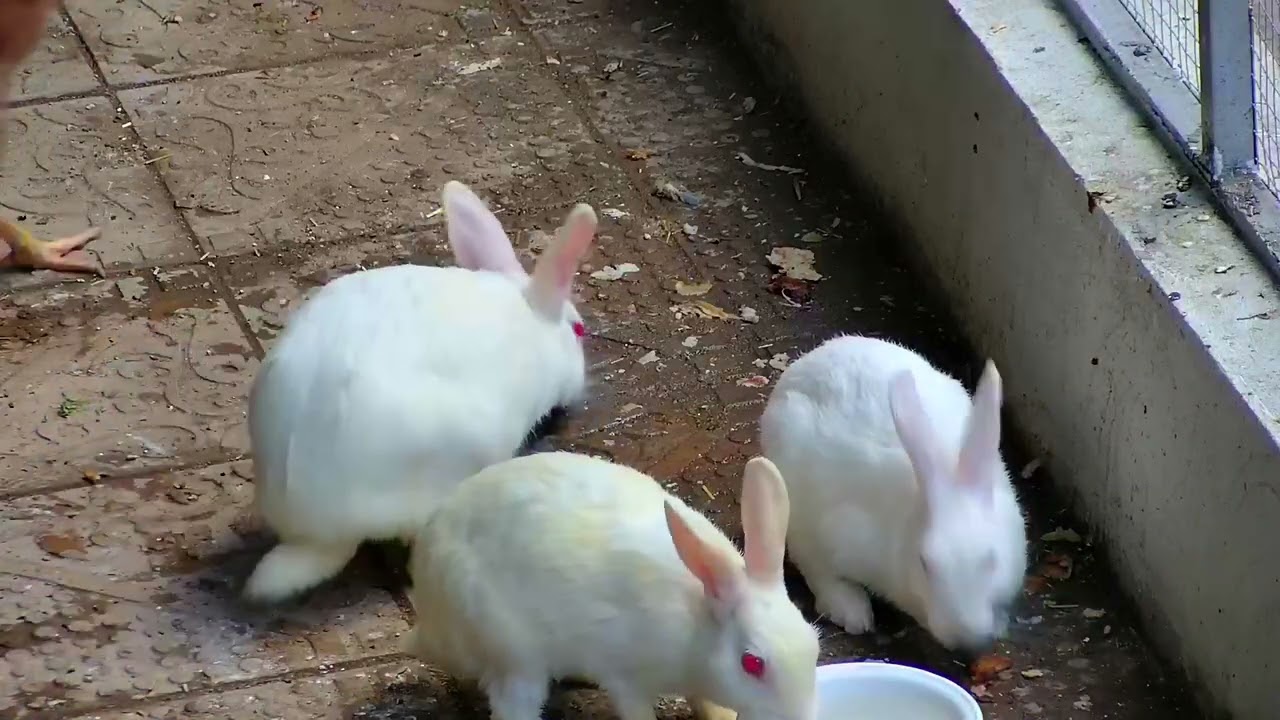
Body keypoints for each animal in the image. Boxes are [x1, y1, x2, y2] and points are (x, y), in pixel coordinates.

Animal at [403, 451, 820, 720]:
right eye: (752, 663)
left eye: (814, 644)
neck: (697, 625)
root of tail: (430, 618)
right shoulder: (625, 677)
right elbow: (637, 712)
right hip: (514, 654)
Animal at [758, 335, 1027, 654]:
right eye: (924, 563)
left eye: (992, 559)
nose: (966, 639)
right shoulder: (829, 530)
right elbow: (820, 571)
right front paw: (853, 613)